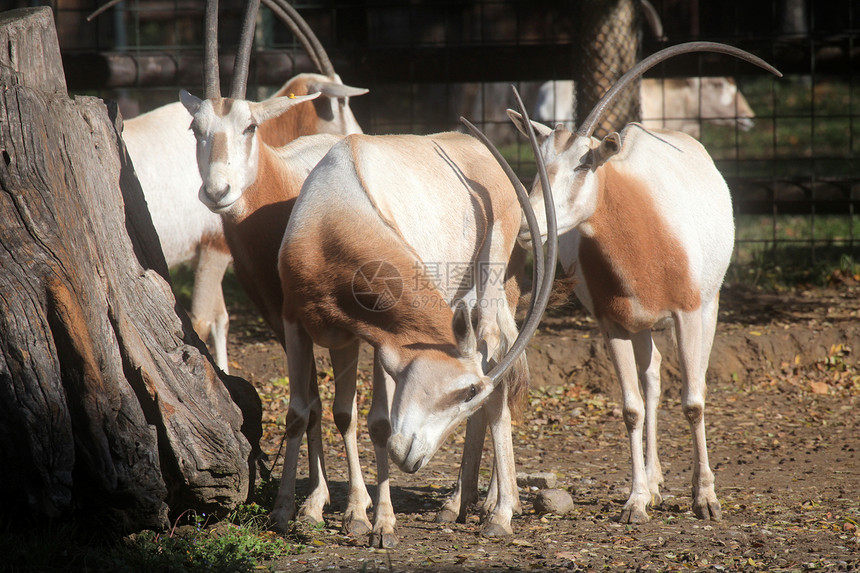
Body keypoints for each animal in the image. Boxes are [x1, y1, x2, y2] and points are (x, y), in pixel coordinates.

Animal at [116, 0, 366, 370]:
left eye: (250, 126)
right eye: (344, 102)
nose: (217, 192)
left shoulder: (212, 251)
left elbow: (220, 318)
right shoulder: (214, 248)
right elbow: (204, 320)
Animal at [490, 40, 780, 524]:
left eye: (584, 165)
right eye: (539, 165)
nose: (530, 228)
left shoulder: (687, 313)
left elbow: (694, 401)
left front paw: (706, 499)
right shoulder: (612, 325)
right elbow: (631, 408)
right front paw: (636, 500)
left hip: (708, 306)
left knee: (690, 383)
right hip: (641, 325)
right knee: (653, 380)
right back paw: (656, 482)